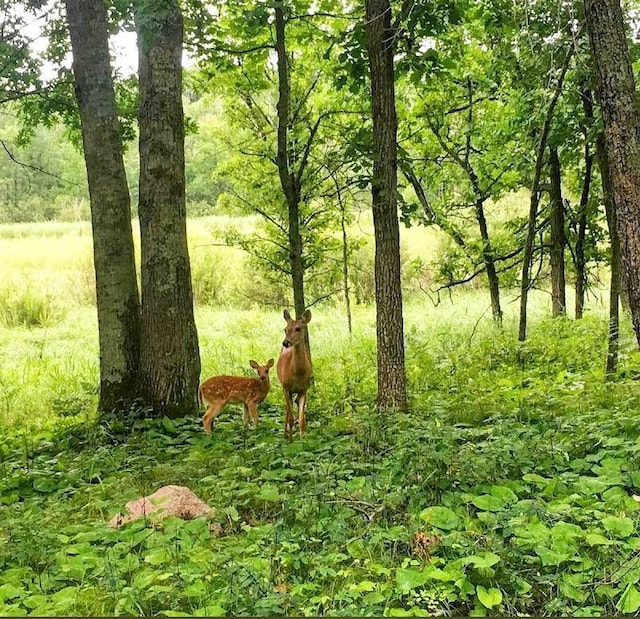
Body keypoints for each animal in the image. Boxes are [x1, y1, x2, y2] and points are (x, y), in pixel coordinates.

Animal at [278, 310, 312, 440]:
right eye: (285, 329)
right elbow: (291, 419)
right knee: (287, 409)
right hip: (284, 387)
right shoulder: (286, 387)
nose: (286, 342)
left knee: (294, 404)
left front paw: (303, 438)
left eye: (298, 328)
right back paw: (285, 435)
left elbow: (301, 419)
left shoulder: (304, 389)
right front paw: (291, 440)